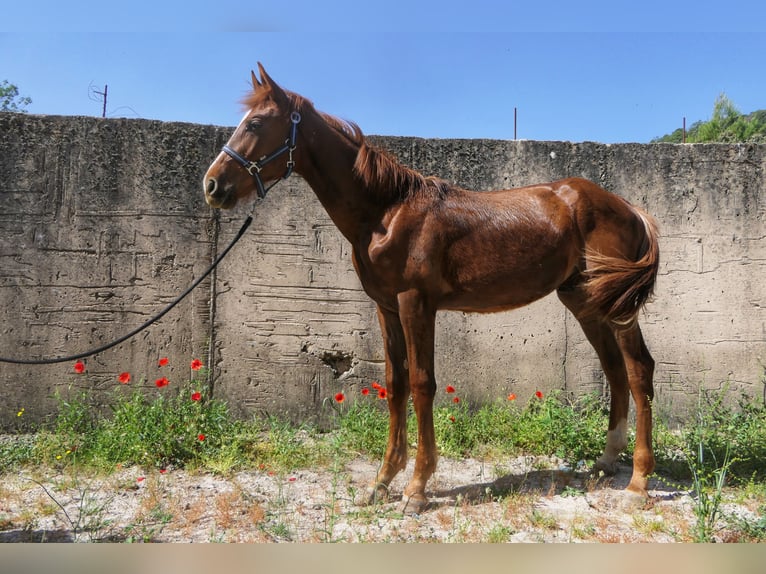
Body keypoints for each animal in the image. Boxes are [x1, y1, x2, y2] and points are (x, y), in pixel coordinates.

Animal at [204, 64, 660, 516]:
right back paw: (606, 461)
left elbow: (423, 385)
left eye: (256, 123)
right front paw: (382, 480)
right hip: (585, 303)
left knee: (639, 370)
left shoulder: (416, 304)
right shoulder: (386, 308)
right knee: (615, 370)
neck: (387, 212)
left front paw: (416, 488)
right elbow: (396, 383)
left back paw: (638, 483)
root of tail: (631, 209)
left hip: (617, 309)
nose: (212, 186)